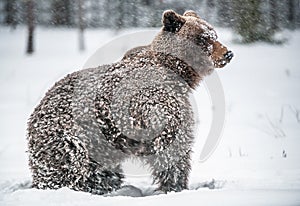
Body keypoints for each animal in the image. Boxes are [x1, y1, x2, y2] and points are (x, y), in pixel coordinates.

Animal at [27, 9, 233, 195]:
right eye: (204, 38)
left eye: (215, 34)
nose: (228, 53)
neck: (176, 70)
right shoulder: (156, 103)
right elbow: (171, 146)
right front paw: (175, 185)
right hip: (70, 138)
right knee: (73, 166)